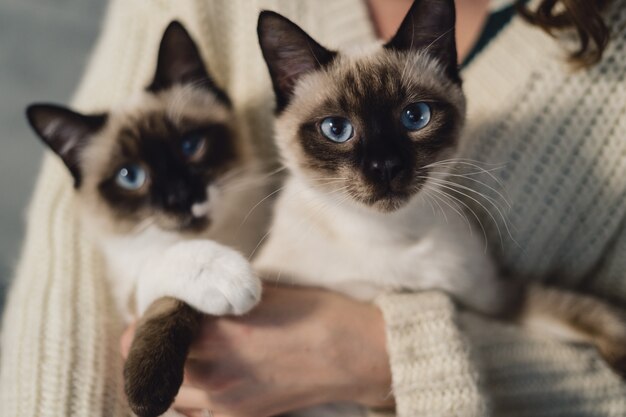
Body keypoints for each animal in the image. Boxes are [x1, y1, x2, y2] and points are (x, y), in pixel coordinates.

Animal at [26, 22, 266, 416]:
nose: (182, 199)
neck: (226, 237)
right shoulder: (131, 297)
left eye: (190, 146)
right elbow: (167, 278)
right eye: (130, 177)